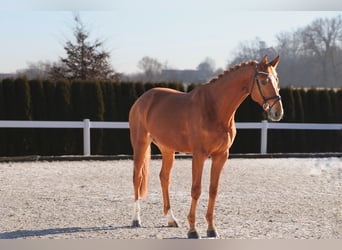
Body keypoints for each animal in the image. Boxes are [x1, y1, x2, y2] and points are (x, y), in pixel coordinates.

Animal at [128, 54, 284, 238]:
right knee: (137, 178)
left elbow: (213, 190)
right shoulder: (199, 155)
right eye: (264, 81)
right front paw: (193, 230)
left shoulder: (221, 155)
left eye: (277, 79)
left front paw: (211, 228)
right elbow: (196, 190)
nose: (278, 112)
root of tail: (142, 99)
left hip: (167, 149)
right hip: (140, 143)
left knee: (164, 178)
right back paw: (136, 219)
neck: (214, 108)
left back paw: (171, 219)